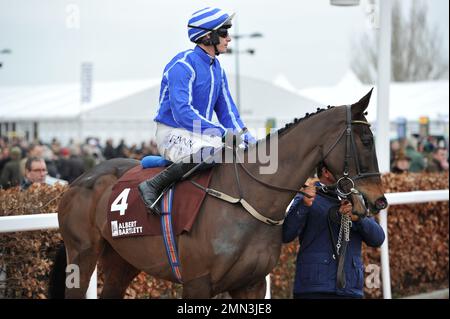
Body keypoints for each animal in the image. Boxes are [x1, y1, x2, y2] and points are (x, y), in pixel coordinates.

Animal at [49, 90, 386, 300]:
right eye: (366, 140)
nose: (378, 200)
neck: (246, 199)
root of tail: (77, 181)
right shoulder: (197, 284)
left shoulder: (250, 285)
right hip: (82, 256)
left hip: (123, 260)